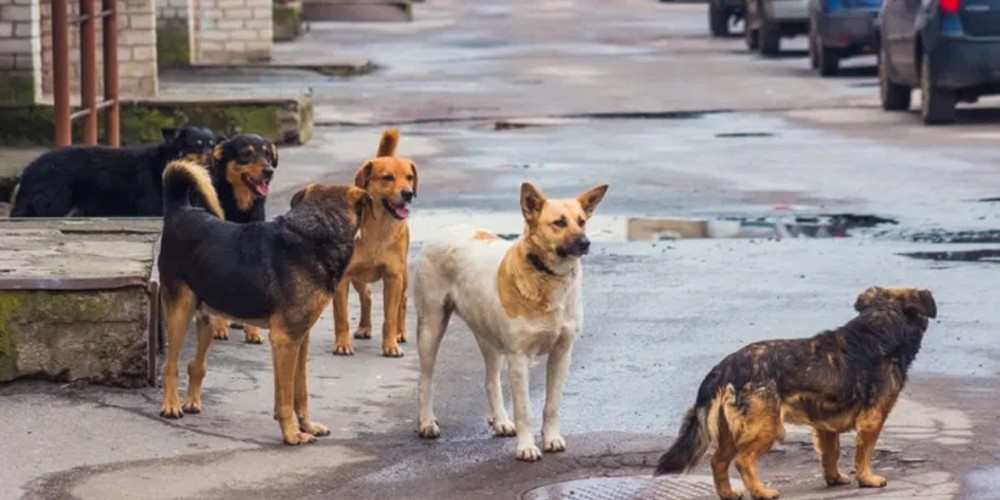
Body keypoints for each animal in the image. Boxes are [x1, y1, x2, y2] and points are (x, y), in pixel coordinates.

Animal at [11, 127, 221, 217]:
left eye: (213, 145)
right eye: (196, 145)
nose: (212, 158)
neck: (166, 161)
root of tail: (30, 168)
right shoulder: (154, 210)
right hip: (54, 204)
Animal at [158, 160, 370, 446]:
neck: (315, 233)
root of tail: (180, 210)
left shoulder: (300, 338)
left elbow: (300, 391)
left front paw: (308, 425)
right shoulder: (285, 339)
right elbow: (285, 398)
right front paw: (291, 433)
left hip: (207, 317)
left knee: (196, 364)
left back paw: (191, 401)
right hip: (180, 311)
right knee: (170, 365)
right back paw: (171, 406)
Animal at [334, 127, 416, 358]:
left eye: (409, 177)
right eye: (387, 178)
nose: (408, 194)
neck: (378, 229)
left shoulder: (393, 277)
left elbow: (390, 317)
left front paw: (391, 344)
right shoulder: (342, 278)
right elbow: (341, 317)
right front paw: (342, 343)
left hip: (403, 276)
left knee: (402, 303)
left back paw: (400, 332)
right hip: (357, 277)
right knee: (367, 296)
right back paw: (364, 327)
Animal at [412, 182, 608, 462]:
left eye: (582, 221)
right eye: (559, 222)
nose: (585, 243)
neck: (547, 277)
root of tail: (444, 229)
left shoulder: (562, 353)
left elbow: (552, 405)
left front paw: (551, 438)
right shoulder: (519, 358)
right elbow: (525, 409)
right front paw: (526, 447)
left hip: (489, 338)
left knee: (491, 381)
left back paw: (501, 421)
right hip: (431, 327)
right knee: (425, 380)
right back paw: (427, 422)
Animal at [656, 288, 936, 498]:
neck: (880, 325)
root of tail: (725, 367)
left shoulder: (825, 426)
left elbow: (831, 454)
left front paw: (834, 478)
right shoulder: (872, 419)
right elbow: (864, 453)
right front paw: (867, 479)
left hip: (730, 431)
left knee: (718, 461)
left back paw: (729, 493)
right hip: (766, 427)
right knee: (743, 460)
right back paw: (761, 492)